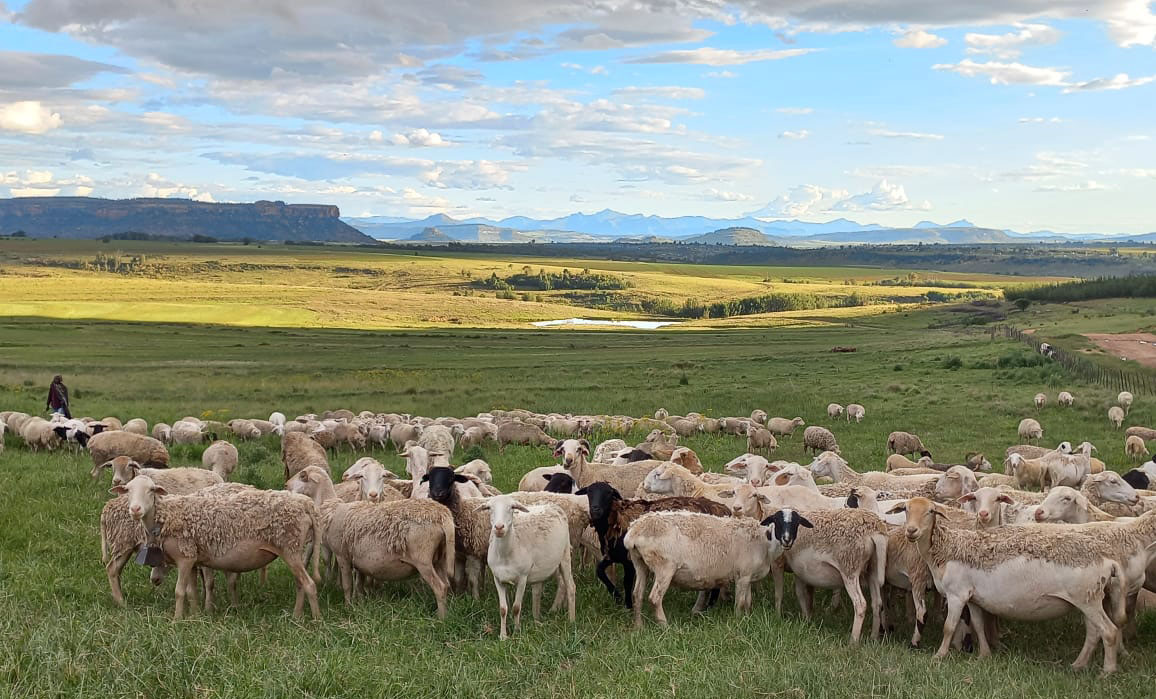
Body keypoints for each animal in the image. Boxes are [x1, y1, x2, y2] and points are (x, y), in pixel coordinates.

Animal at [113, 475, 320, 620]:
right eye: (128, 490)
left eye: (151, 490)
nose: (135, 509)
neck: (167, 515)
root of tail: (306, 504)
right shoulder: (192, 557)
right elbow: (192, 592)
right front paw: (195, 615)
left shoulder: (185, 556)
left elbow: (179, 592)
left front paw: (177, 620)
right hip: (294, 550)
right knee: (301, 583)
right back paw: (296, 616)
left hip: (290, 548)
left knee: (310, 584)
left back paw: (316, 620)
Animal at [482, 497, 575, 639]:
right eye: (489, 508)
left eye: (512, 508)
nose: (499, 527)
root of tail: (552, 505)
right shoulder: (497, 579)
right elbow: (503, 609)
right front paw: (503, 636)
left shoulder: (522, 577)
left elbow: (516, 607)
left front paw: (517, 631)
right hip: (547, 565)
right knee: (544, 588)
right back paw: (539, 618)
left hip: (565, 555)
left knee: (570, 586)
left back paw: (571, 620)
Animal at [626, 510, 788, 627]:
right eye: (778, 523)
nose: (787, 541)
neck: (764, 543)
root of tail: (634, 531)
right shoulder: (743, 576)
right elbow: (740, 602)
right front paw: (738, 621)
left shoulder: (747, 576)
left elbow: (747, 601)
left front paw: (748, 619)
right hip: (664, 567)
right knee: (655, 598)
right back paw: (664, 626)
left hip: (640, 563)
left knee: (637, 594)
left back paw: (638, 627)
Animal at [887, 497, 1125, 674]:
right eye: (906, 509)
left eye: (931, 512)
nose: (911, 531)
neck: (944, 550)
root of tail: (1109, 560)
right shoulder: (972, 597)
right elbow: (978, 624)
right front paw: (984, 655)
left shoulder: (957, 594)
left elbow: (949, 627)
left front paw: (939, 656)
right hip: (1090, 598)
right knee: (1094, 633)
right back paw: (1078, 664)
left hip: (1087, 598)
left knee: (1109, 631)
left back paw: (1107, 671)